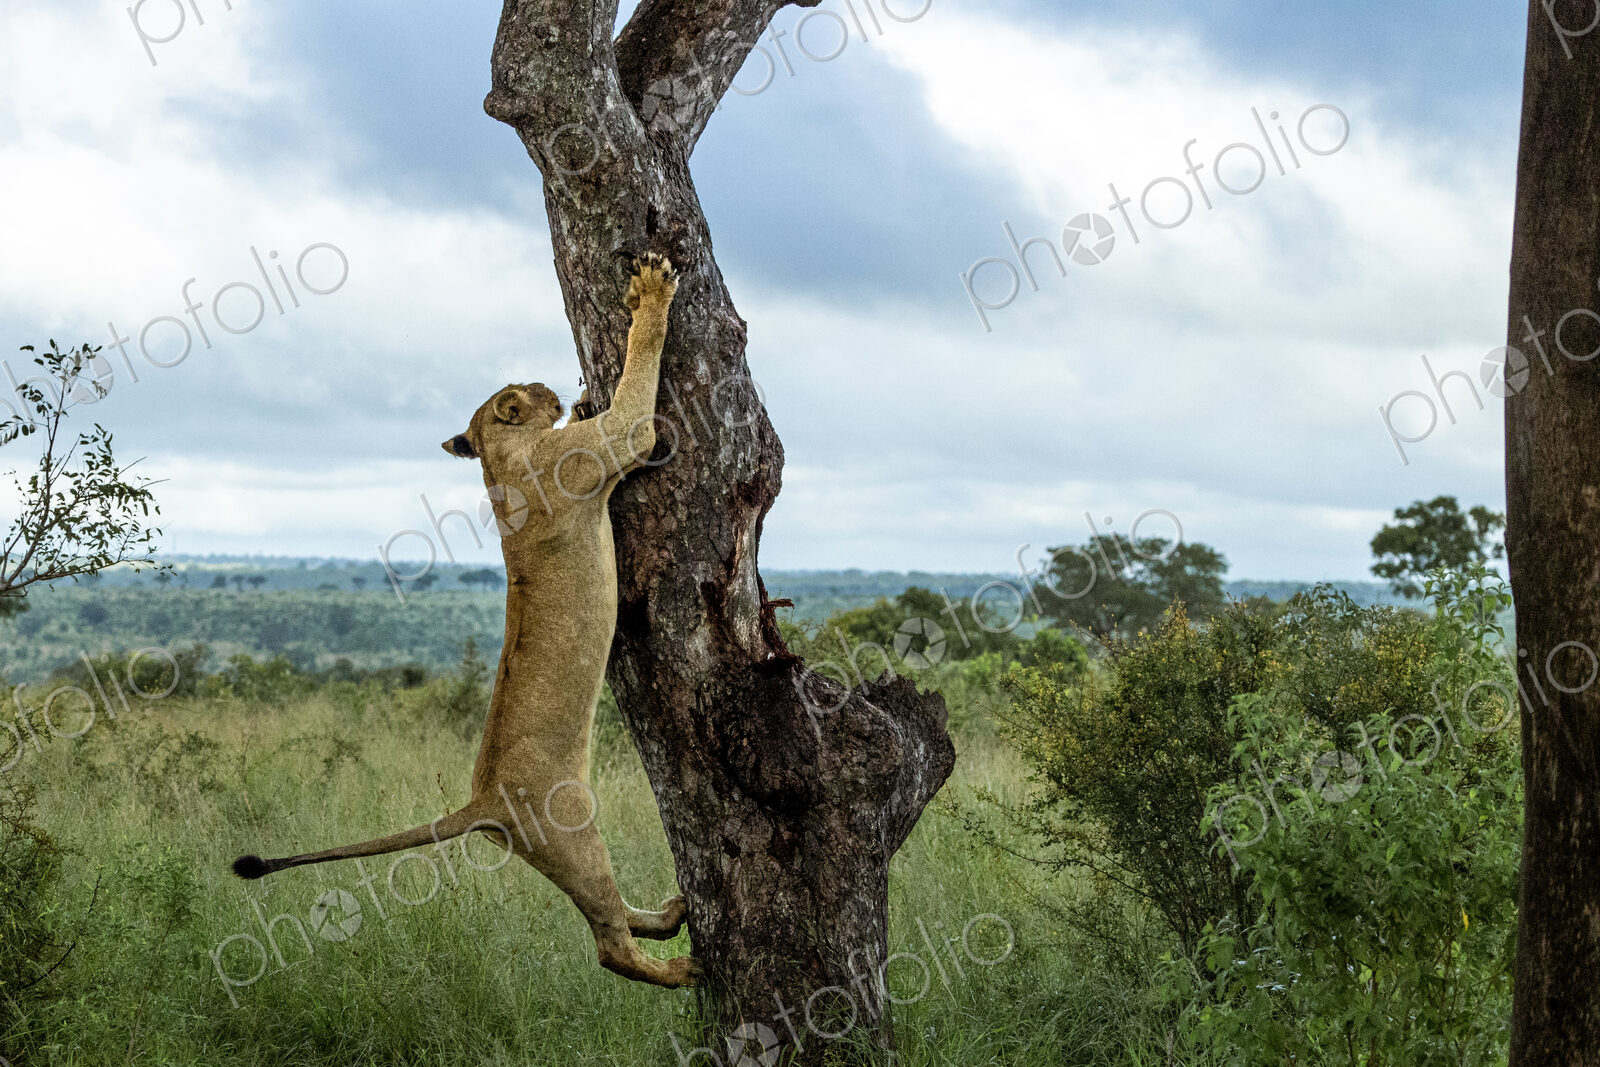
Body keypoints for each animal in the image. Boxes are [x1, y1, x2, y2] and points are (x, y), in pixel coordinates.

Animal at [233, 254, 697, 989]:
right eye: (525, 389)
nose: (552, 385)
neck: (498, 461)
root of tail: (482, 803)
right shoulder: (612, 442)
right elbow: (636, 383)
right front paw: (649, 291)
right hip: (573, 831)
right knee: (607, 942)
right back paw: (679, 965)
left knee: (612, 919)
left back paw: (671, 914)